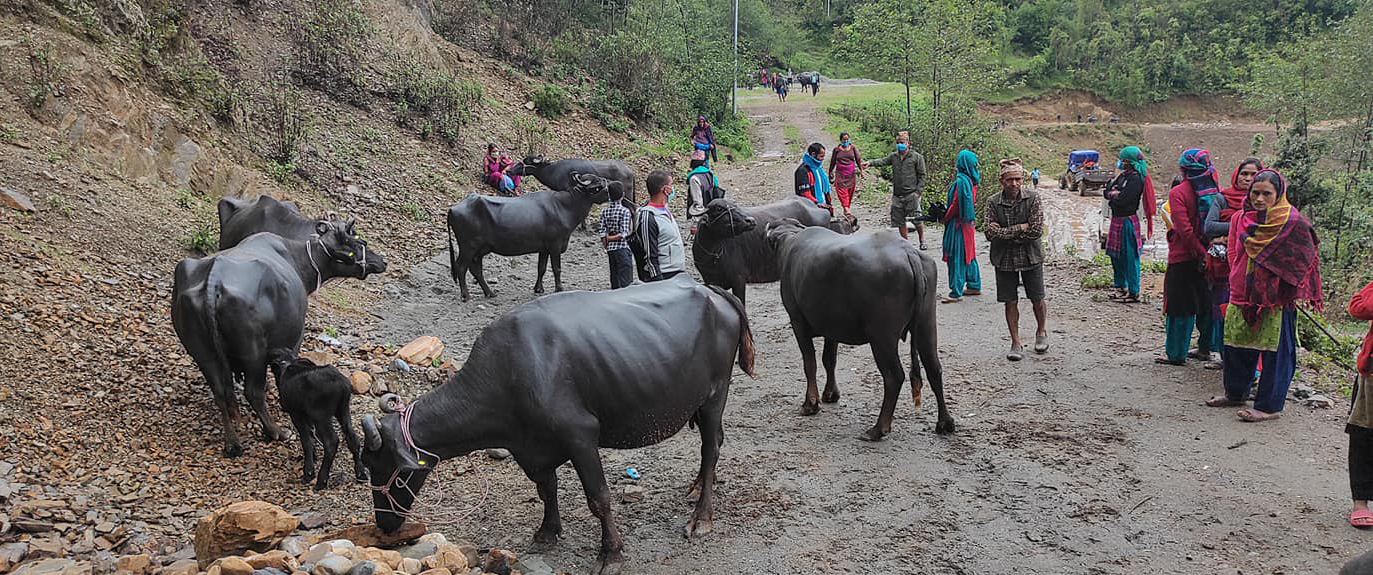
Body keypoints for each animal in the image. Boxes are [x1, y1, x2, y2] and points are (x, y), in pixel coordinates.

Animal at [172, 222, 387, 458]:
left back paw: (232, 443)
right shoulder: (294, 339)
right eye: (358, 243)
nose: (382, 261)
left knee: (220, 391)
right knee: (252, 392)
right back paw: (276, 431)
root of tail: (214, 279)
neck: (298, 258)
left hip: (201, 352)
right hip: (253, 353)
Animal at [359, 277, 757, 573]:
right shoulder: (530, 448)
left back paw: (701, 517)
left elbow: (599, 498)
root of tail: (711, 291)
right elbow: (545, 488)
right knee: (715, 443)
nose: (385, 524)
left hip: (716, 393)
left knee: (711, 447)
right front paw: (548, 531)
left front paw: (611, 554)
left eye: (388, 468)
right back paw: (696, 487)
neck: (508, 373)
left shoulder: (580, 435)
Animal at [444, 172, 612, 301]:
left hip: (480, 249)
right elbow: (556, 268)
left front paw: (538, 289)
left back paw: (490, 293)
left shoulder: (544, 248)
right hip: (468, 246)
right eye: (598, 185)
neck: (565, 206)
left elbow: (541, 268)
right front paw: (559, 288)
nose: (611, 190)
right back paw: (466, 295)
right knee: (461, 267)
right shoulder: (555, 244)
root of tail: (454, 208)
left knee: (476, 269)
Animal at [697, 197, 856, 303]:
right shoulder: (710, 281)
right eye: (719, 209)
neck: (714, 254)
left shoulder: (739, 280)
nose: (750, 220)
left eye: (734, 206)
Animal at [763, 219, 955, 441]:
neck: (790, 244)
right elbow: (829, 360)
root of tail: (909, 253)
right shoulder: (831, 328)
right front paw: (831, 394)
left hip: (881, 337)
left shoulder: (797, 321)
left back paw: (879, 428)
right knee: (934, 368)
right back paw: (945, 422)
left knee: (894, 376)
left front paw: (810, 404)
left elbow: (809, 363)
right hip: (926, 325)